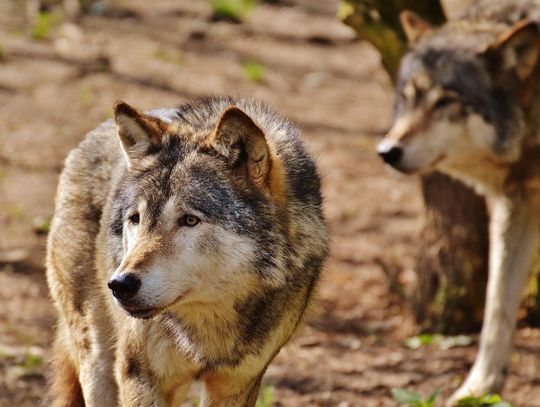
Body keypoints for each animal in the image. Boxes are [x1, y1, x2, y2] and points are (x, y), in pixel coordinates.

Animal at [46, 96, 326, 407]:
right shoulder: (140, 377)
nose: (120, 285)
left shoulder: (238, 384)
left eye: (189, 220)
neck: (207, 326)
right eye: (136, 219)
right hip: (98, 362)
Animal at [378, 0, 540, 404]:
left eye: (447, 102)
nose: (387, 151)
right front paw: (479, 388)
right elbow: (497, 305)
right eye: (408, 98)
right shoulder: (516, 206)